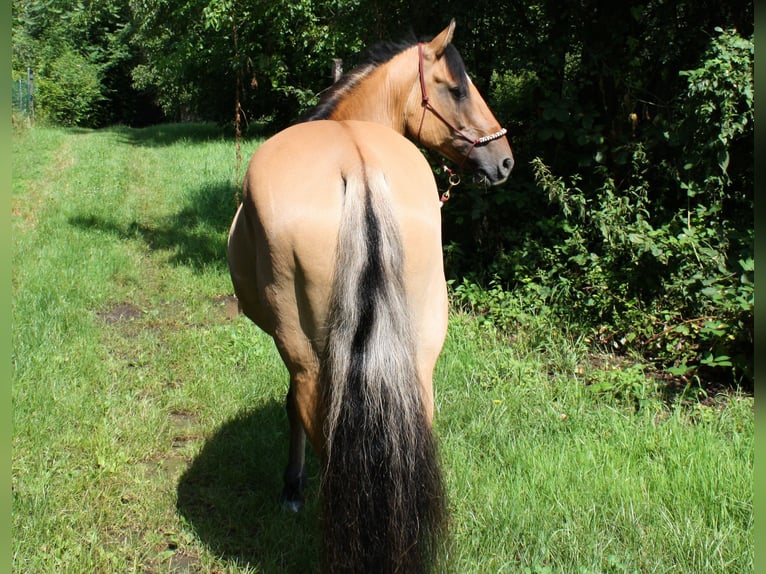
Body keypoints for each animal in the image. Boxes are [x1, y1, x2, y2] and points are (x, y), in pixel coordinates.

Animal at [228, 19, 516, 574]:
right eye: (455, 88)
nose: (505, 161)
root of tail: (359, 168)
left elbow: (290, 408)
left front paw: (292, 488)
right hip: (419, 353)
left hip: (309, 354)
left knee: (318, 418)